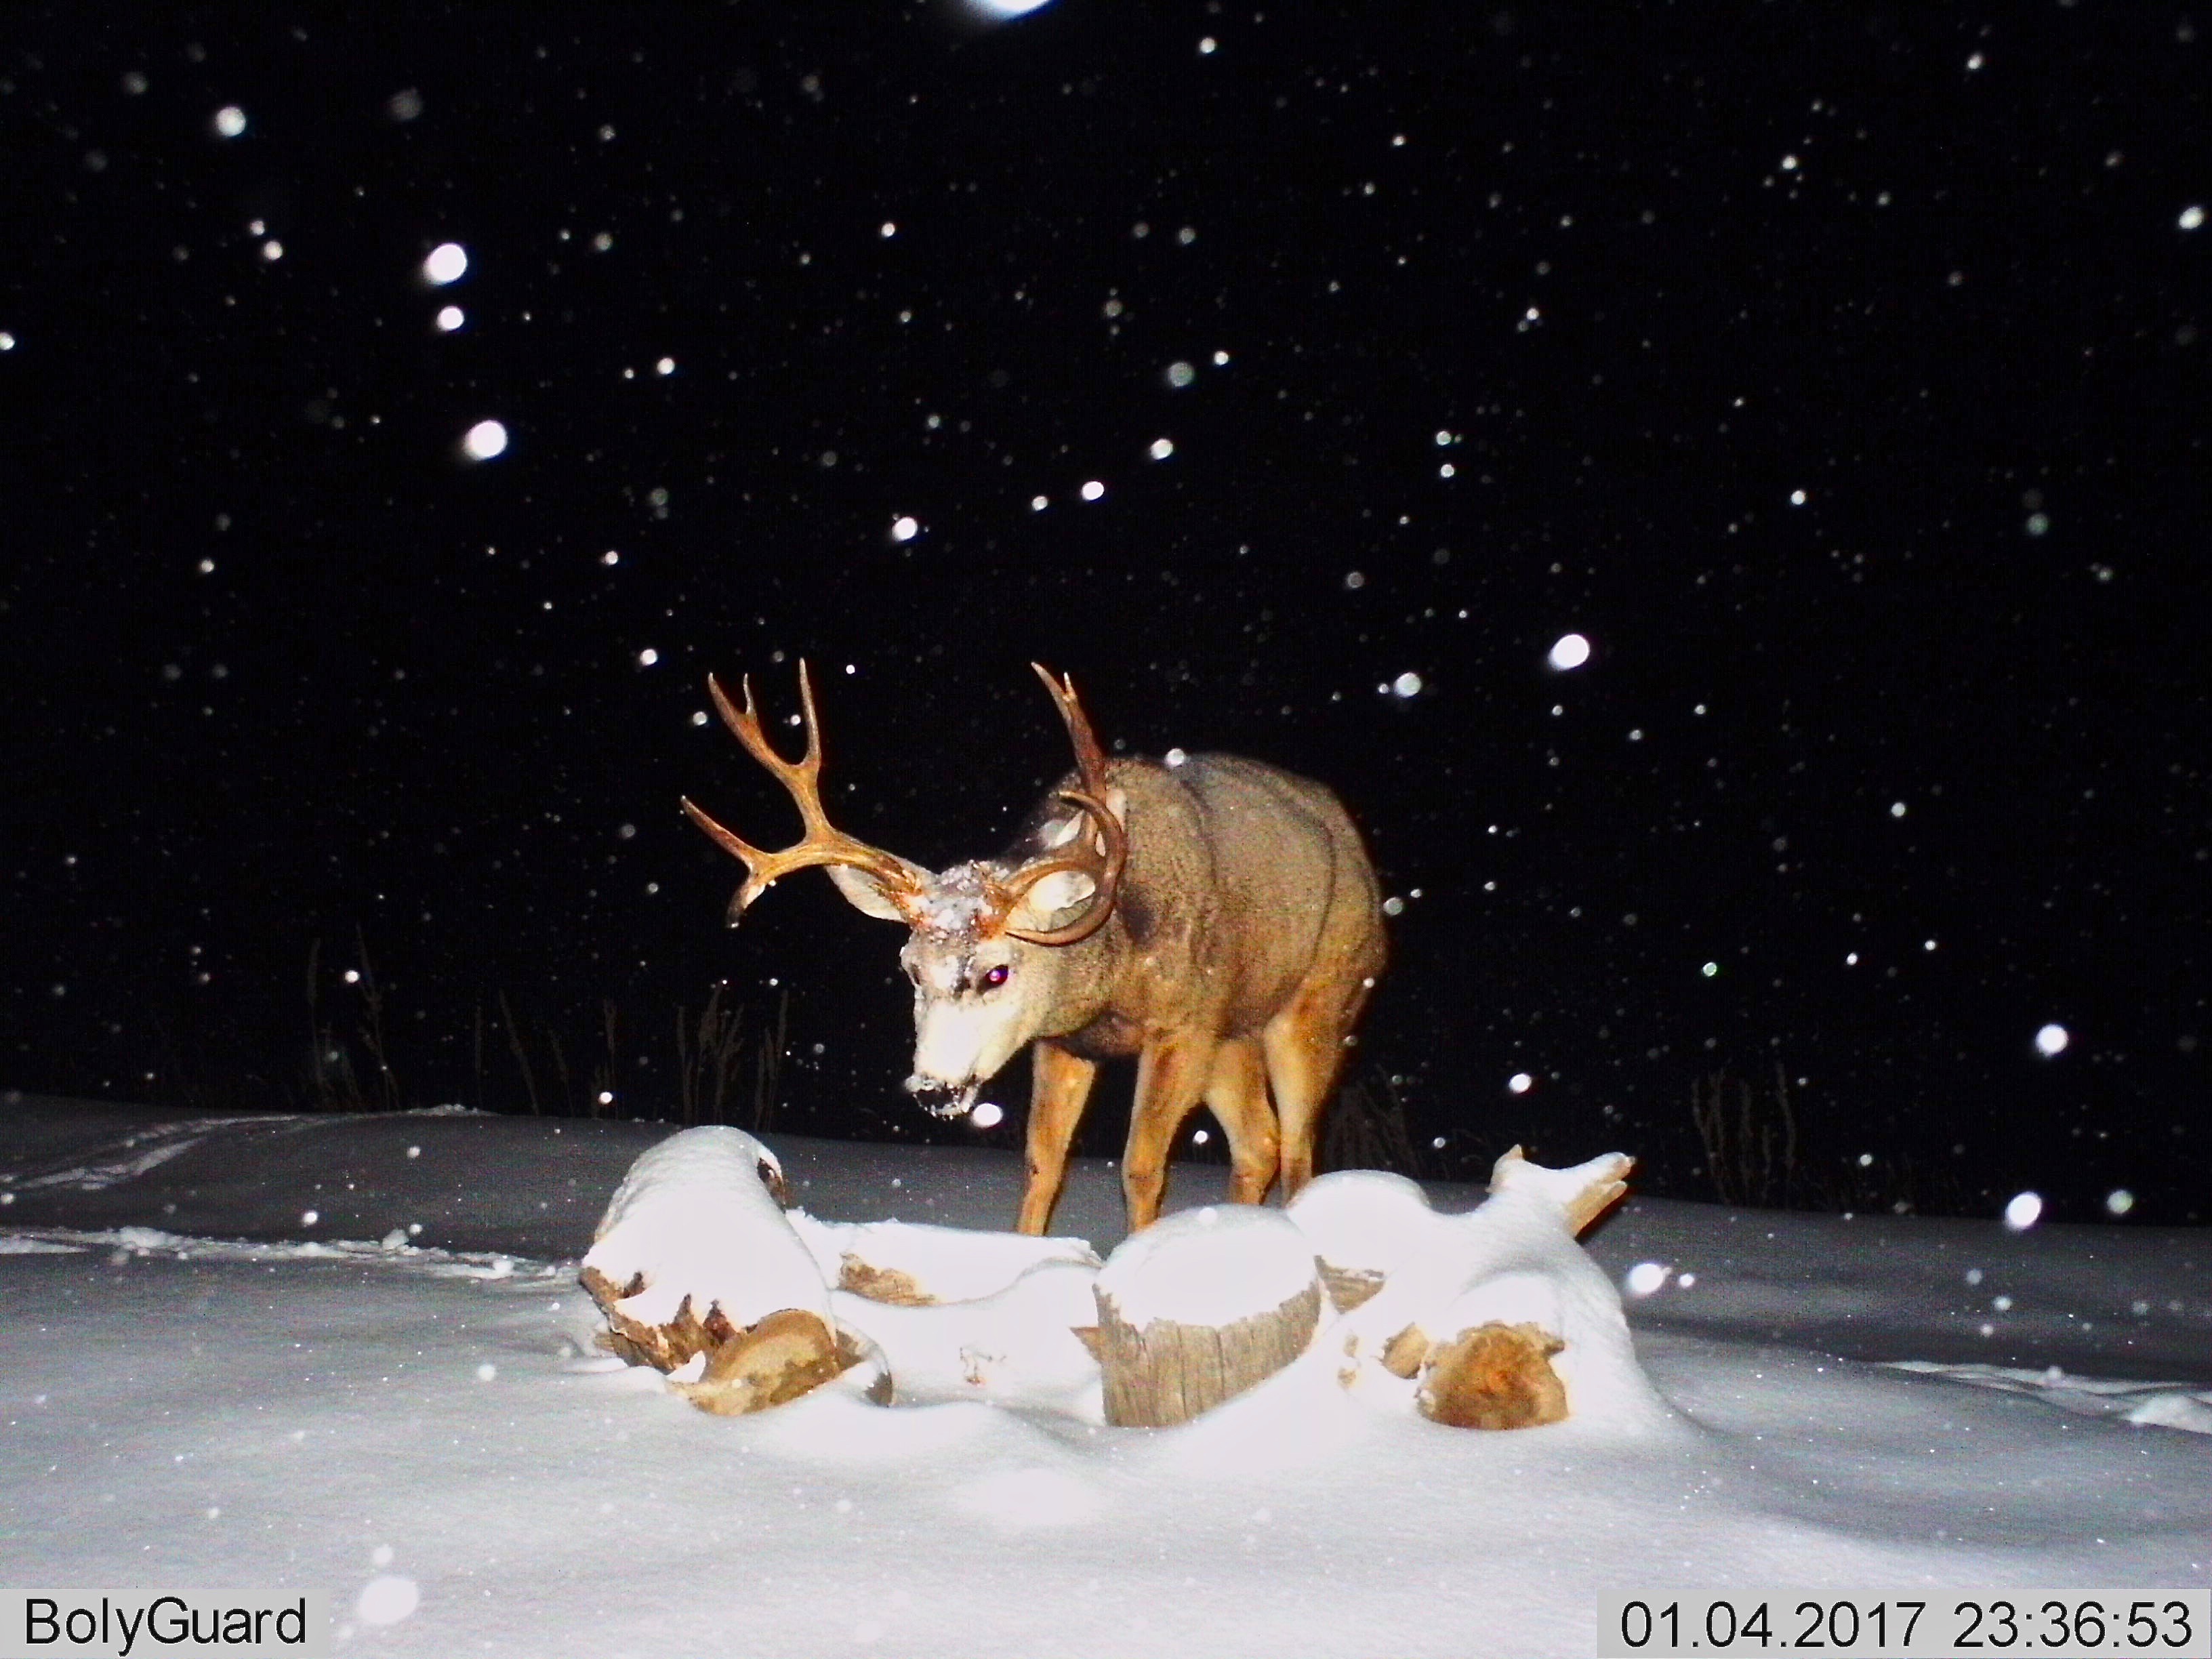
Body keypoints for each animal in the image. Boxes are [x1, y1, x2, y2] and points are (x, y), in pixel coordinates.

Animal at [681, 663, 1389, 1238]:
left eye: (997, 972)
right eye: (910, 969)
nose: (933, 1089)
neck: (1111, 973)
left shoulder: (1182, 1024)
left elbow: (1141, 1166)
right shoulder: (1062, 1040)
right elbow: (1043, 1163)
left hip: (1317, 1003)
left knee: (1298, 1148)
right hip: (1234, 1030)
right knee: (1259, 1144)